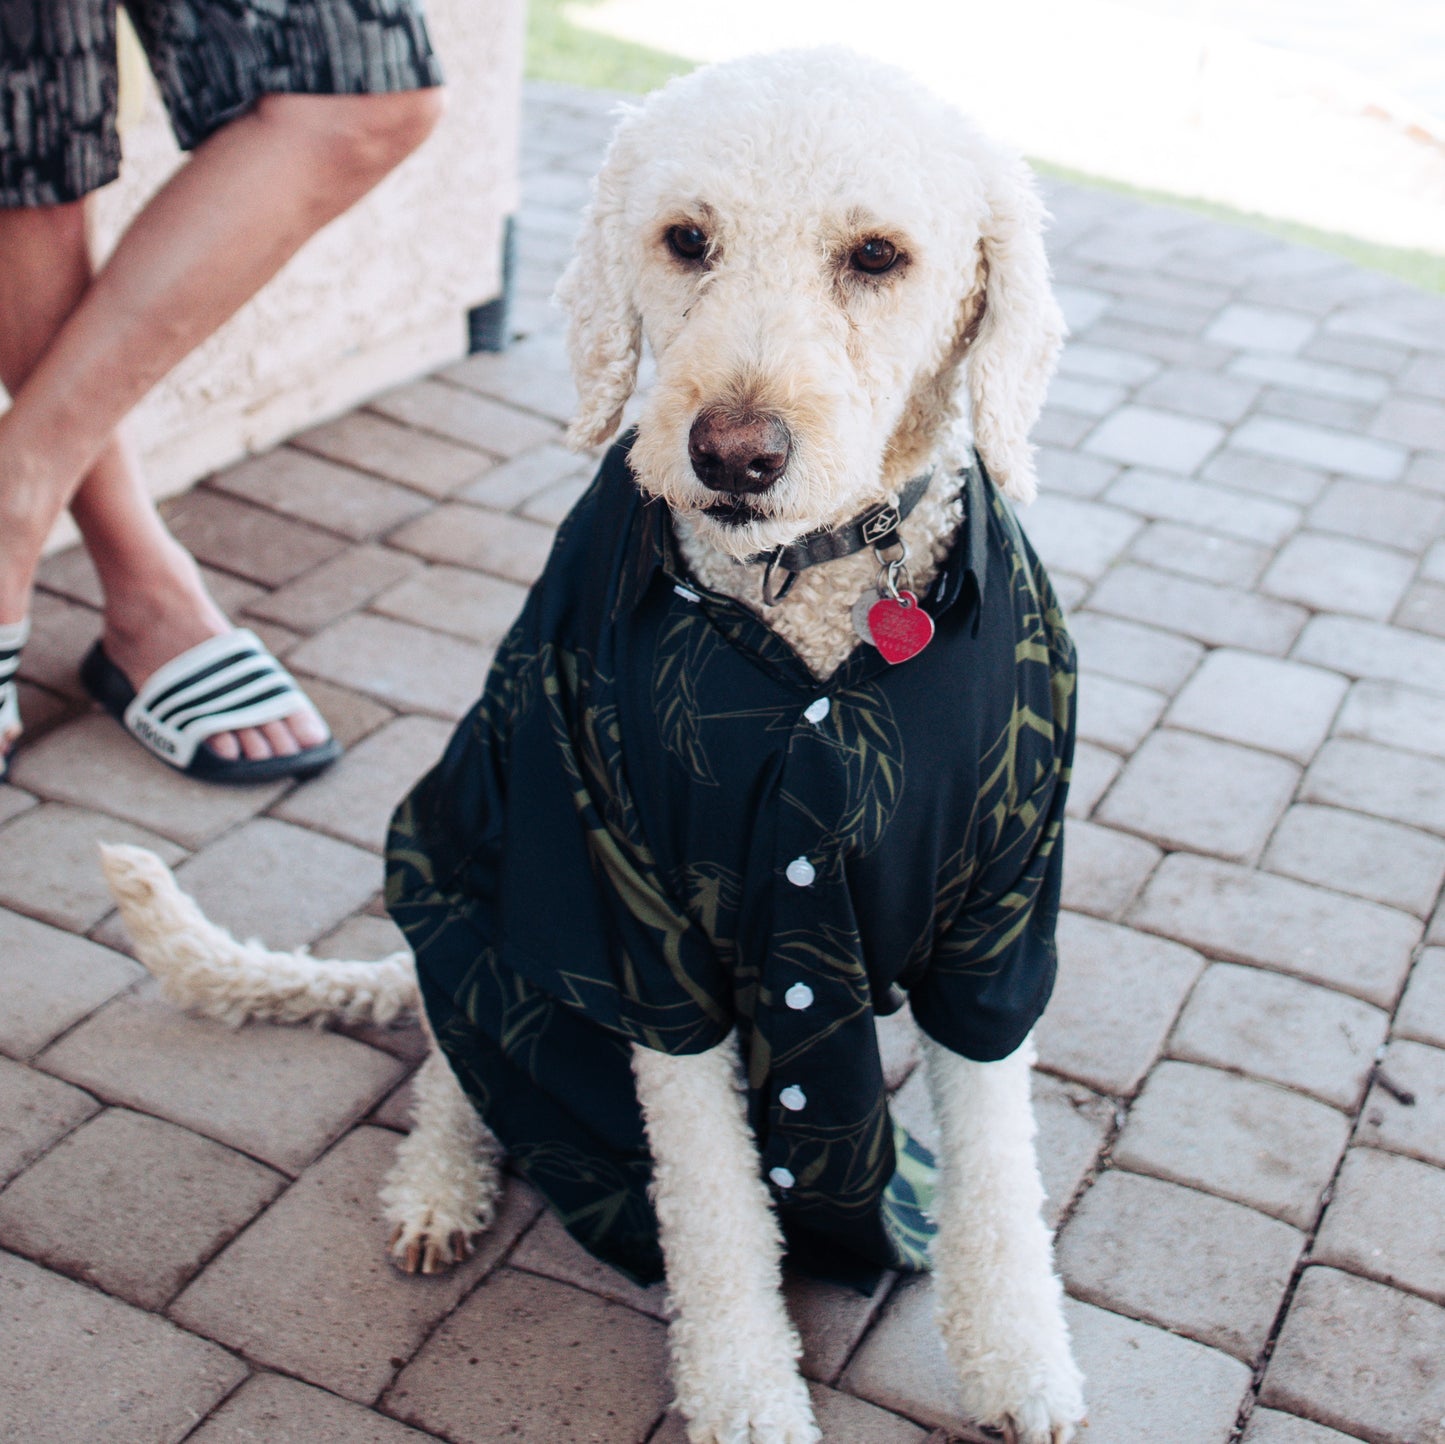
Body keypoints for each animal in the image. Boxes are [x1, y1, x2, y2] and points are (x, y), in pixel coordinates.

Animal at [101, 50, 1080, 1444]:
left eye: (877, 256)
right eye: (686, 239)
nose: (733, 454)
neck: (805, 600)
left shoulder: (996, 920)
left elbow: (997, 1174)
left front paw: (1022, 1365)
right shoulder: (634, 931)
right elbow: (714, 1212)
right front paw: (745, 1395)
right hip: (478, 901)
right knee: (455, 1058)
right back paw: (437, 1184)